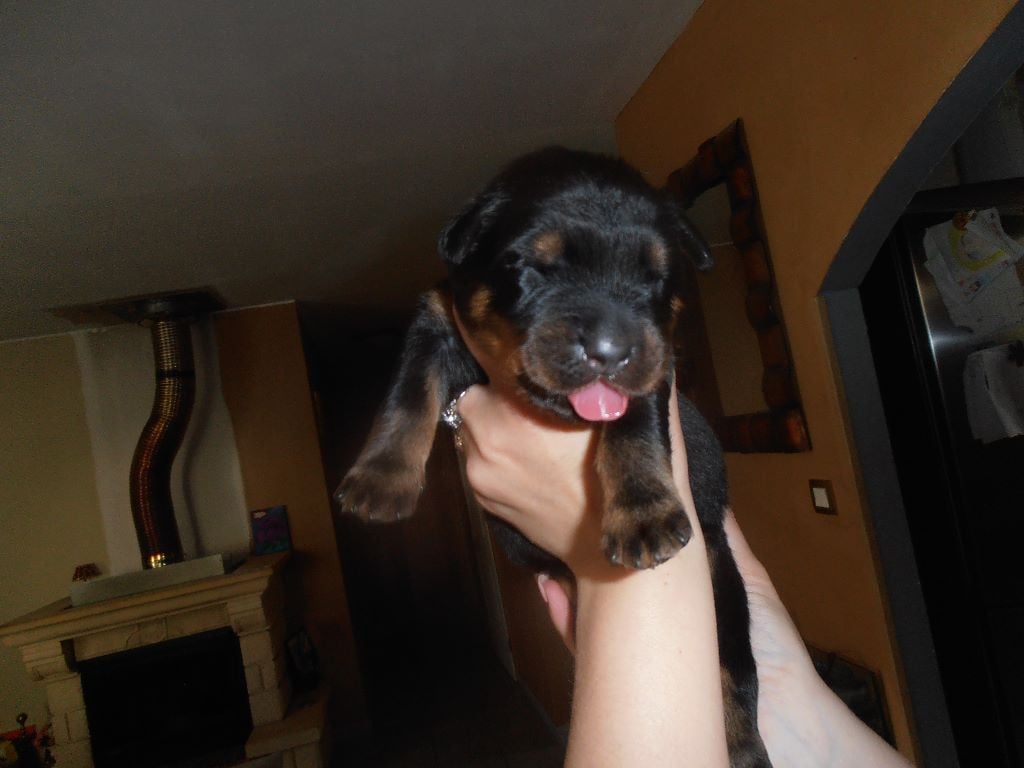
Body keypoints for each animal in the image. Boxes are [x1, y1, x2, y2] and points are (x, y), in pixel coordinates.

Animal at [336, 147, 771, 767]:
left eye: (657, 278)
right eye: (532, 268)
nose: (611, 351)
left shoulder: (654, 366)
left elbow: (633, 429)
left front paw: (643, 514)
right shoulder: (435, 318)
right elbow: (407, 394)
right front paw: (380, 480)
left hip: (722, 585)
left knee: (736, 672)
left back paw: (743, 747)